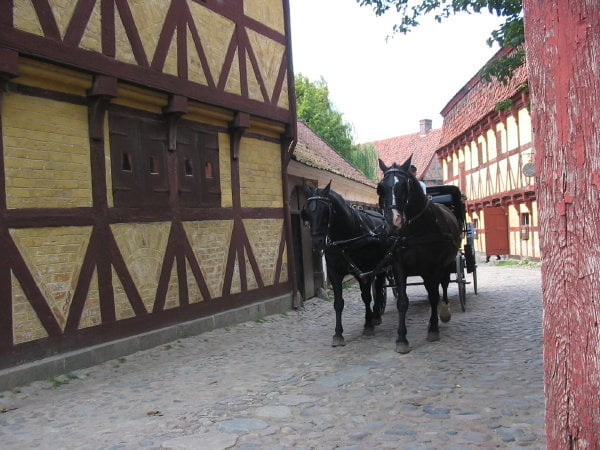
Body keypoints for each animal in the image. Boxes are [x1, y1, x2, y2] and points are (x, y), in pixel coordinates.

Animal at [300, 183, 390, 348]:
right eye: (307, 212)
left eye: (325, 211)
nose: (317, 243)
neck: (345, 237)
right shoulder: (334, 273)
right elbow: (338, 303)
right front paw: (338, 334)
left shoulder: (363, 271)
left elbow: (366, 297)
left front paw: (368, 325)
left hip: (380, 267)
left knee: (379, 286)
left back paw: (375, 315)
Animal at [378, 156, 462, 354]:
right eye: (381, 187)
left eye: (404, 185)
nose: (393, 220)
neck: (415, 230)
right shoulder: (399, 266)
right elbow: (402, 302)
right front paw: (401, 339)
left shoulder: (434, 266)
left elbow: (434, 296)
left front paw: (433, 329)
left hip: (443, 265)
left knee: (443, 286)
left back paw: (444, 312)